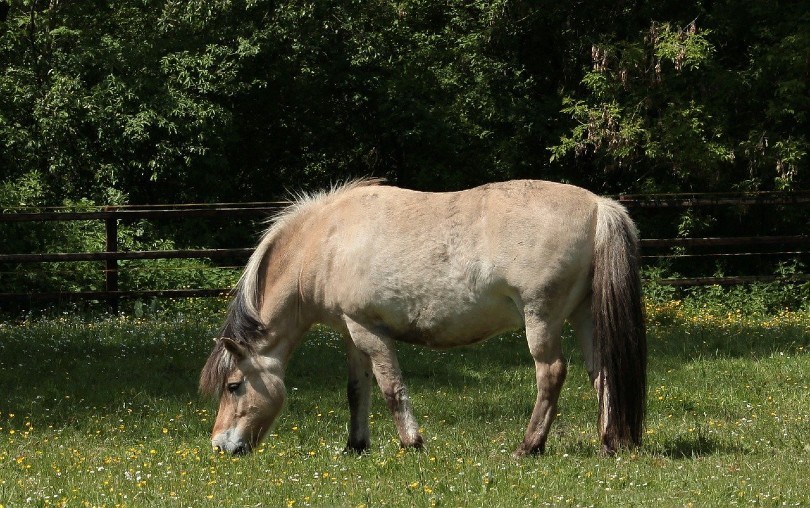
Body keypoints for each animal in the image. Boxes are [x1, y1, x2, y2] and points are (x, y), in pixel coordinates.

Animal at [199, 179, 647, 456]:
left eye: (234, 386)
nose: (220, 446)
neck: (327, 241)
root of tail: (599, 207)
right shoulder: (351, 333)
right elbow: (356, 391)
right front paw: (355, 446)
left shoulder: (369, 331)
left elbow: (391, 389)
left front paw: (411, 442)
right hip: (586, 317)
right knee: (603, 373)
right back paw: (610, 442)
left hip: (542, 319)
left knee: (551, 373)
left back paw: (529, 446)